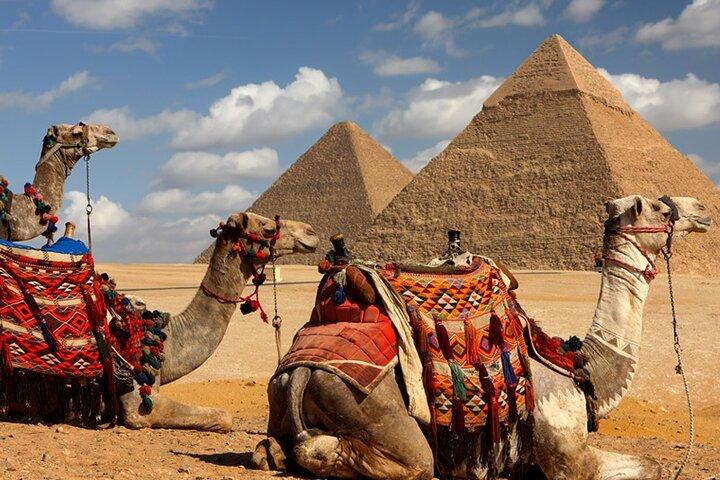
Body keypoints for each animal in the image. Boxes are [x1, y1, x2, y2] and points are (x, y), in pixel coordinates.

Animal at [252, 195, 711, 479]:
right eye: (659, 208)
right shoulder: (566, 458)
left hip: (280, 399)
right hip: (372, 409)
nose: (703, 209)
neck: (579, 363)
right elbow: (654, 465)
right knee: (398, 460)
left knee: (270, 449)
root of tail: (300, 371)